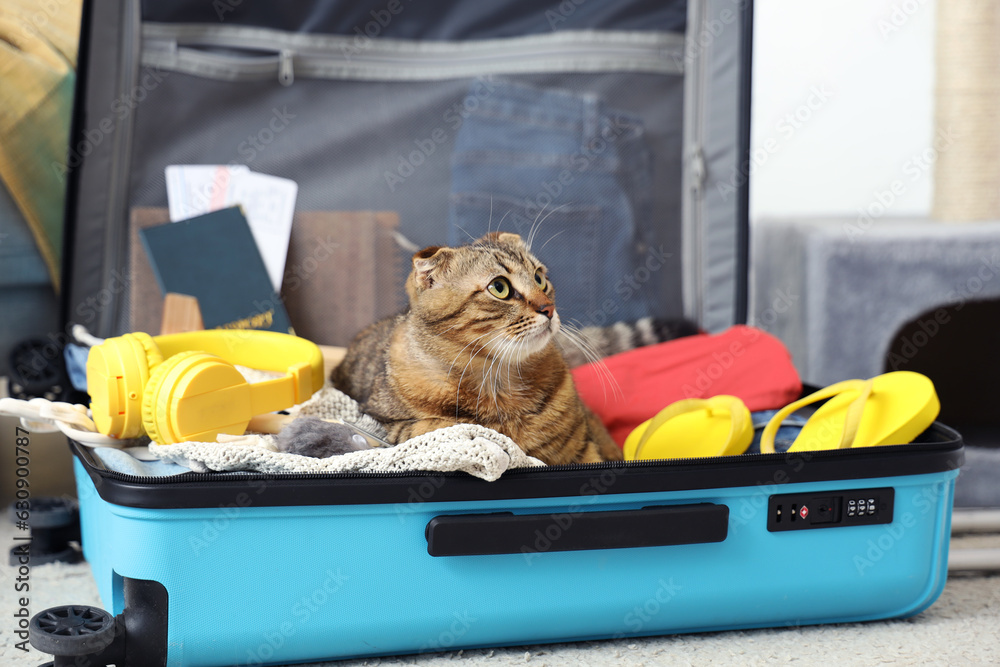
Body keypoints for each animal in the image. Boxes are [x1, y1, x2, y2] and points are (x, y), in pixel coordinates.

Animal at [334, 232, 624, 468]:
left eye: (540, 279)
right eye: (500, 287)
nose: (549, 309)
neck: (499, 380)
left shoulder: (584, 451)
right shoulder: (384, 423)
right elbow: (437, 428)